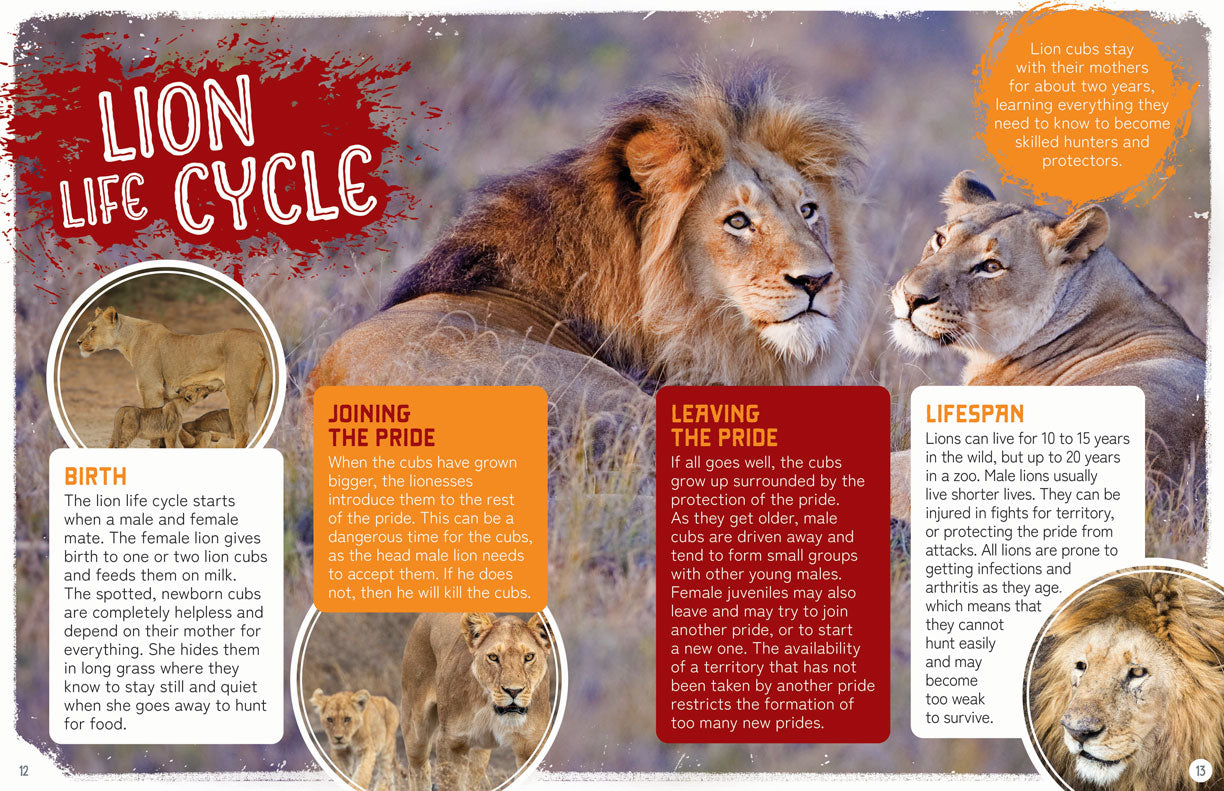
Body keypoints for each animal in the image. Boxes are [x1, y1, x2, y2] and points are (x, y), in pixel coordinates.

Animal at [76, 306, 273, 447]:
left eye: (93, 328)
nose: (78, 342)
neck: (129, 340)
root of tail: (257, 336)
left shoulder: (151, 389)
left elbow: (154, 434)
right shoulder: (164, 396)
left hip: (237, 393)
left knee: (243, 433)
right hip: (262, 396)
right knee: (262, 429)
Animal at [401, 612, 553, 791]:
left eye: (529, 657)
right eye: (493, 657)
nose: (513, 691)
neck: (490, 707)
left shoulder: (531, 746)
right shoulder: (451, 742)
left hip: (478, 752)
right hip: (415, 727)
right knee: (418, 768)